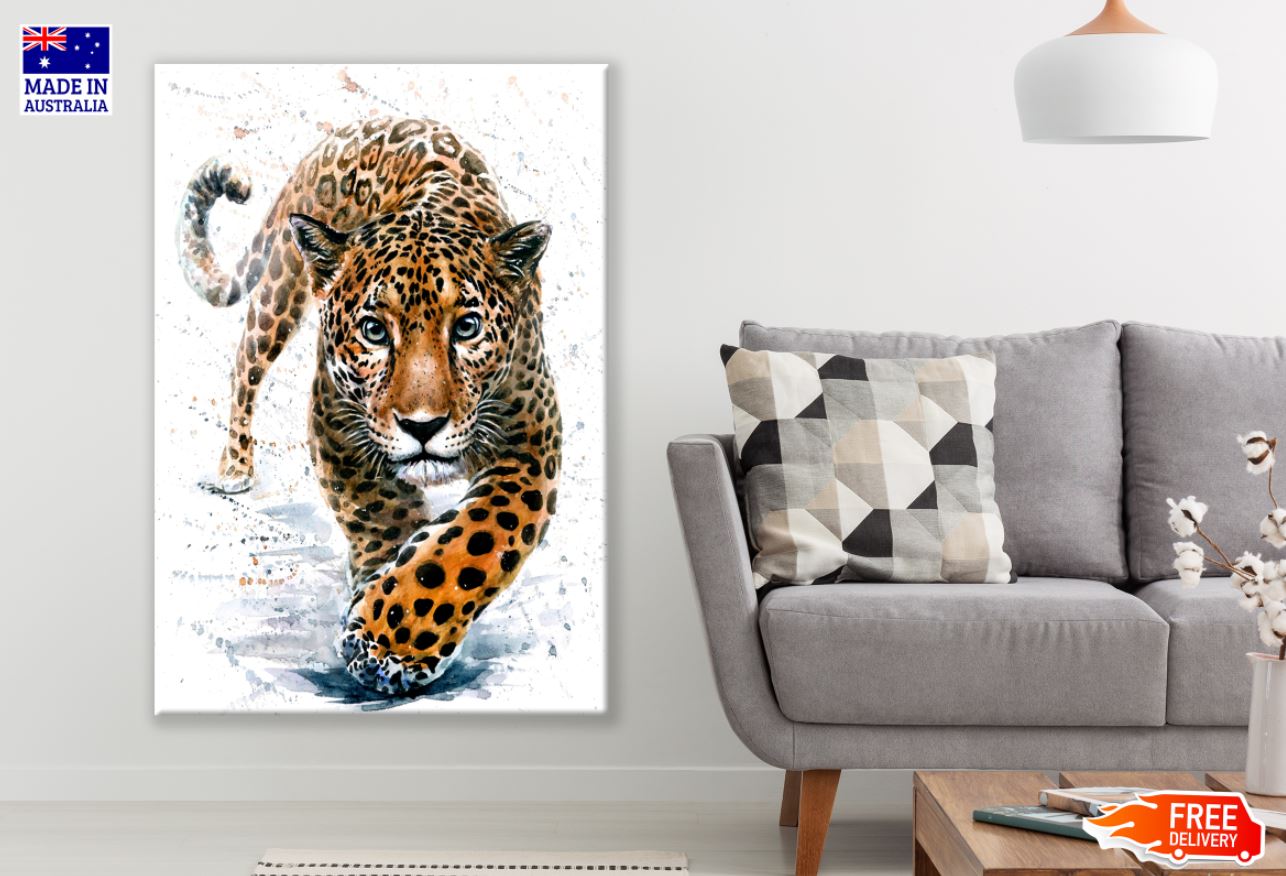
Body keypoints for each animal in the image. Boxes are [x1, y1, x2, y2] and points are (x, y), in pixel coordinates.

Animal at [176, 117, 561, 695]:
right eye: (374, 331)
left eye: (467, 327)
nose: (422, 426)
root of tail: (355, 126)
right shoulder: (336, 426)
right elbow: (381, 515)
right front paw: (384, 624)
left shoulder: (532, 443)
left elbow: (475, 539)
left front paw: (393, 637)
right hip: (281, 288)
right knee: (245, 363)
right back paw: (235, 467)